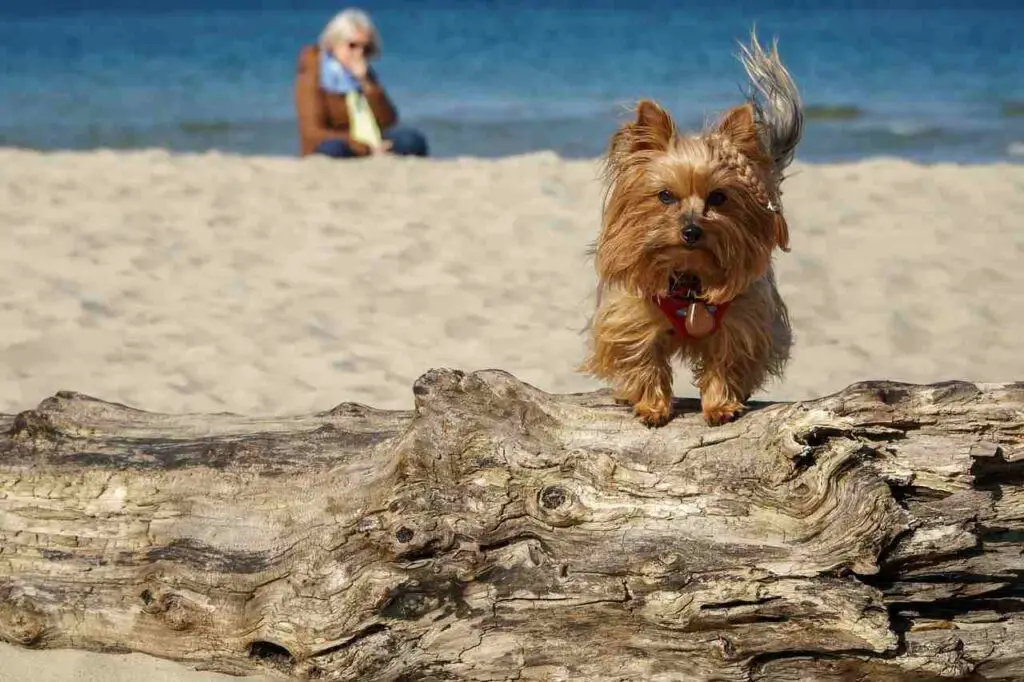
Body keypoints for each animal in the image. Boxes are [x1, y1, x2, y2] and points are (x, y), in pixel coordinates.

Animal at [581, 33, 802, 425]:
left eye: (718, 197)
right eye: (665, 196)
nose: (691, 232)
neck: (688, 278)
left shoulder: (742, 318)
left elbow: (727, 360)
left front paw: (721, 405)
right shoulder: (631, 314)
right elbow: (643, 357)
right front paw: (651, 406)